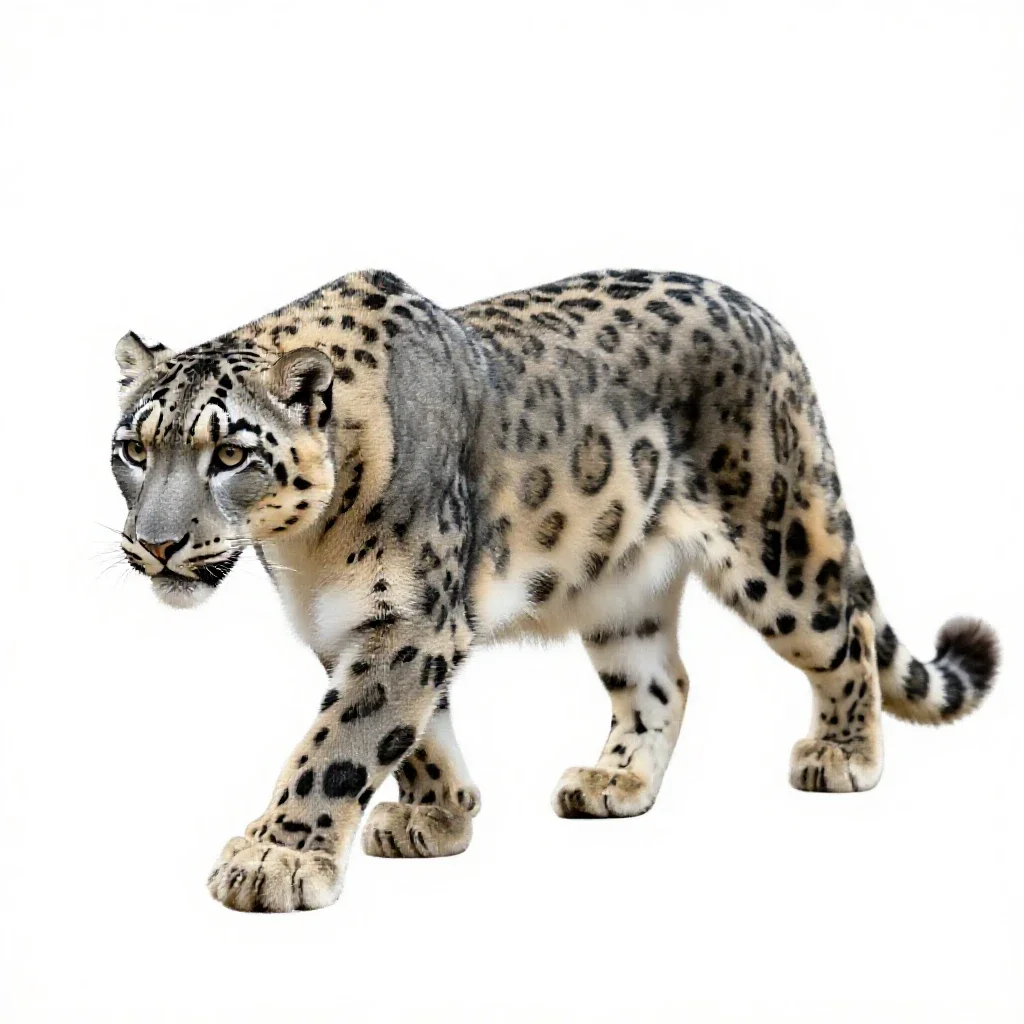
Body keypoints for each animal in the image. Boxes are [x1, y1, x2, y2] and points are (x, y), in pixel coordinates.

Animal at [110, 268, 1000, 912]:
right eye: (133, 448)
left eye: (230, 454)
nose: (156, 543)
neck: (306, 555)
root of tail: (761, 315)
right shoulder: (352, 628)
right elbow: (414, 729)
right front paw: (441, 811)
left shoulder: (409, 622)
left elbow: (341, 742)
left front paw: (274, 856)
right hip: (622, 594)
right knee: (663, 681)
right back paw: (615, 782)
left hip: (777, 547)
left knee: (845, 632)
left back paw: (842, 755)